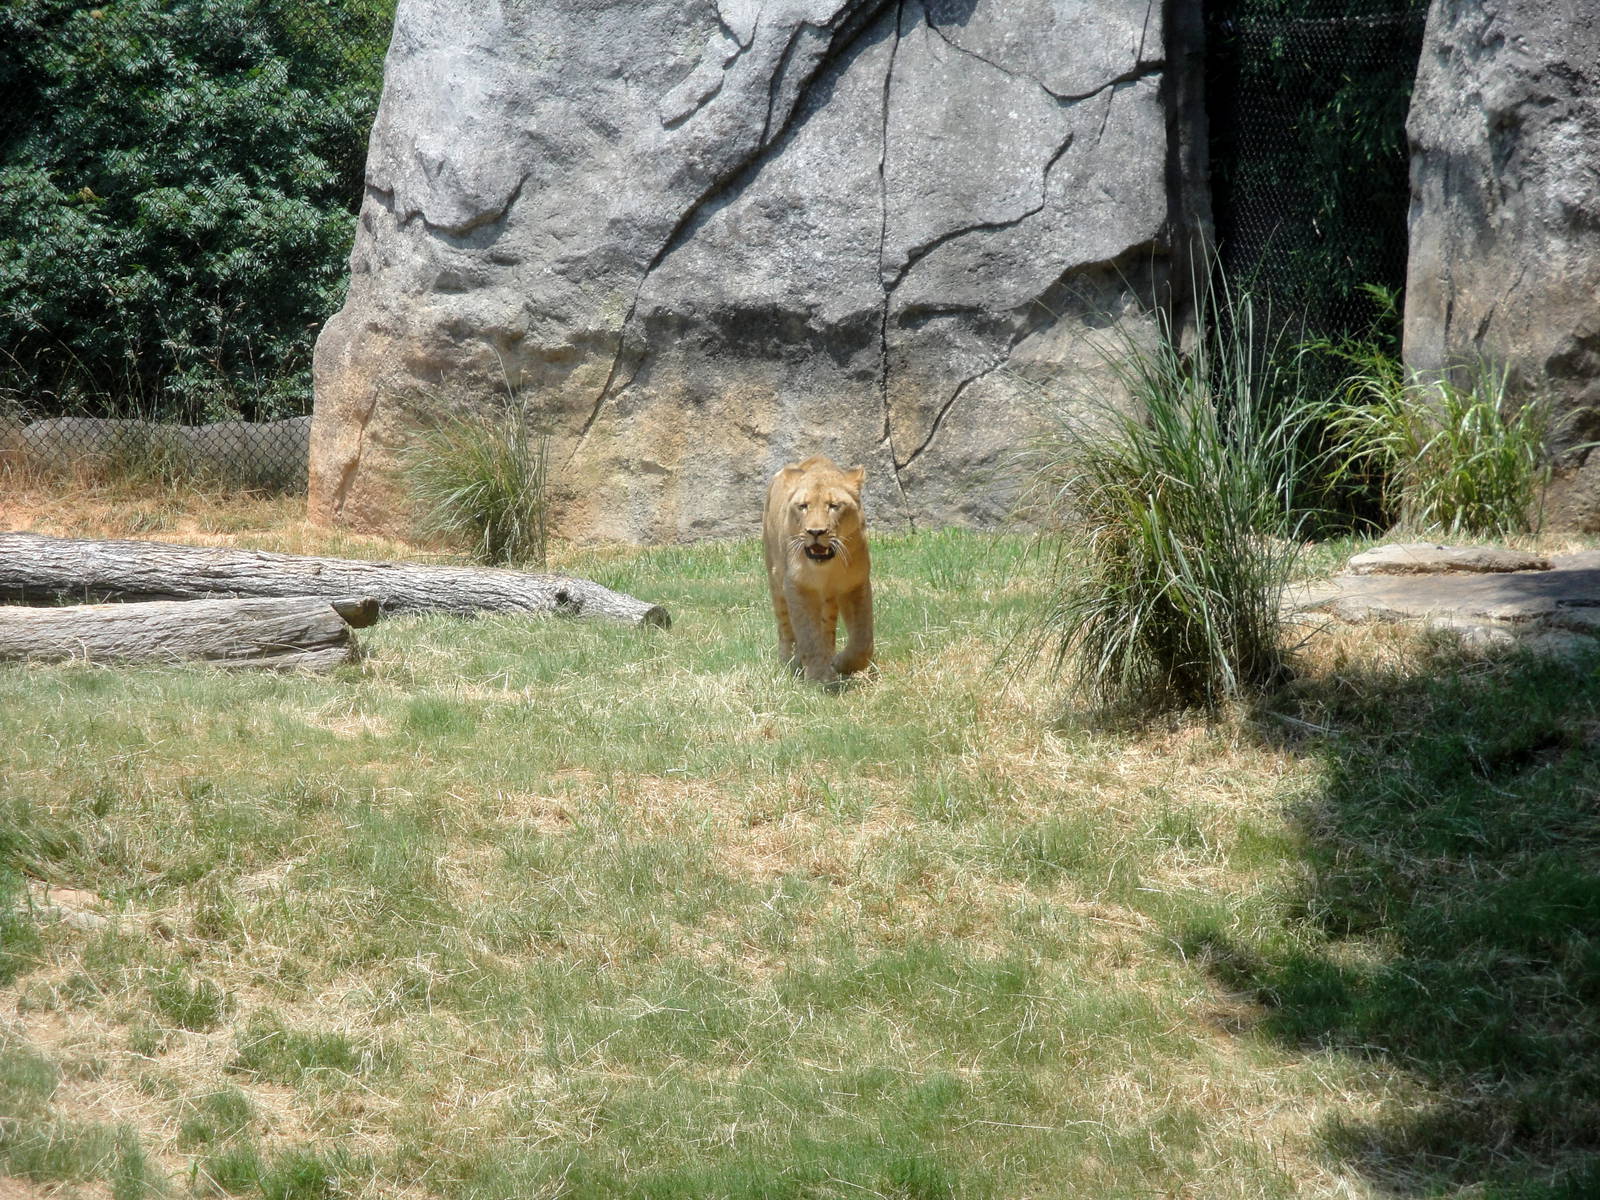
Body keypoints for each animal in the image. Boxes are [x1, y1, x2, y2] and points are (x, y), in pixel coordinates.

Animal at [763, 455, 873, 683]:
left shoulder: (855, 584)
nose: (815, 531)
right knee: (785, 626)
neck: (826, 568)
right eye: (803, 506)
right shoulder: (798, 585)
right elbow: (808, 635)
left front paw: (841, 665)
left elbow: (862, 638)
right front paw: (816, 677)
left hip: (829, 599)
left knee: (827, 629)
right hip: (775, 578)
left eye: (833, 506)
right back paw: (789, 661)